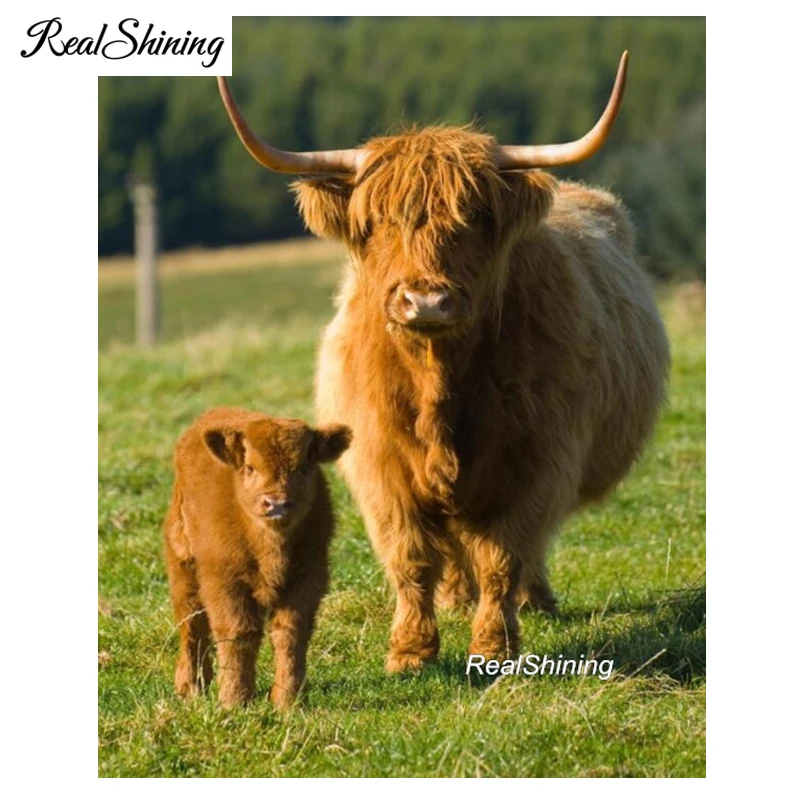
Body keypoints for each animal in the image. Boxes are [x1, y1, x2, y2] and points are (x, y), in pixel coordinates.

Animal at [217, 51, 670, 673]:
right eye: (377, 221)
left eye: (474, 217)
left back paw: (533, 600)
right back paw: (457, 598)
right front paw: (411, 652)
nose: (426, 300)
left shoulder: (537, 462)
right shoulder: (381, 467)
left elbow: (505, 555)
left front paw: (494, 647)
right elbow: (411, 557)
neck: (439, 383)